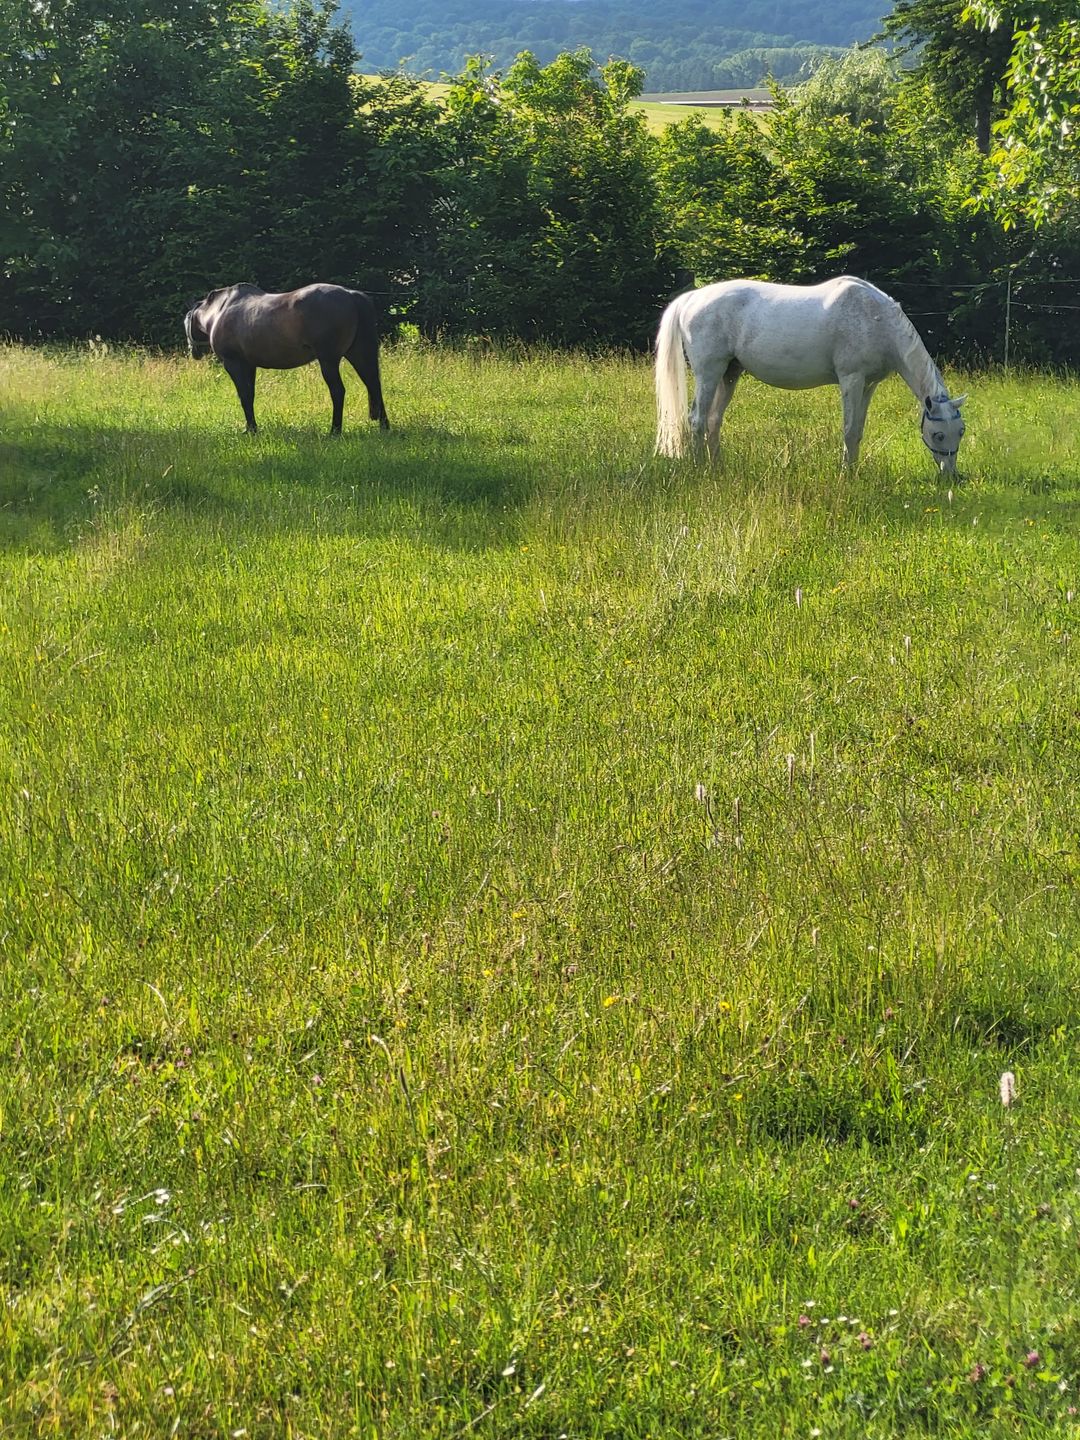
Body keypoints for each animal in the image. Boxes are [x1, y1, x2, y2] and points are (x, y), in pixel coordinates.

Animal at [184, 282, 389, 435]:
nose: (193, 352)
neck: (221, 311)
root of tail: (351, 295)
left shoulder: (234, 364)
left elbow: (244, 396)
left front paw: (250, 429)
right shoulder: (249, 366)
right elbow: (250, 395)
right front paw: (252, 428)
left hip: (329, 360)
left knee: (338, 391)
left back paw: (334, 431)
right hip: (358, 354)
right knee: (374, 384)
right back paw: (384, 427)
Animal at [654, 276, 966, 473]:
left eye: (961, 431)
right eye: (938, 434)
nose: (951, 476)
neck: (876, 319)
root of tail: (692, 298)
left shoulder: (869, 385)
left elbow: (859, 430)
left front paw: (854, 471)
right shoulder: (851, 379)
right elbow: (849, 430)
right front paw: (846, 474)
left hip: (729, 374)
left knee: (713, 420)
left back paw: (716, 468)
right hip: (709, 373)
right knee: (696, 419)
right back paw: (699, 469)